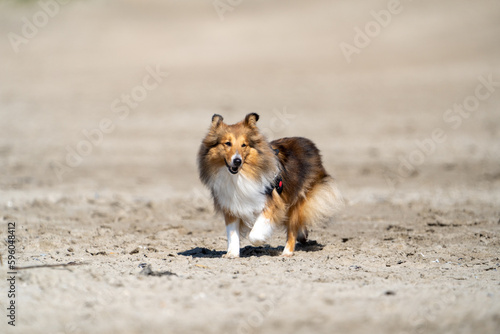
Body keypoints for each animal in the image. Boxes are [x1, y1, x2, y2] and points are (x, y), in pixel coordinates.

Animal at [197, 113, 342, 258]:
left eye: (244, 145)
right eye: (227, 143)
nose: (237, 161)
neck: (239, 176)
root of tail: (309, 144)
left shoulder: (272, 203)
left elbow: (254, 234)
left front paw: (261, 240)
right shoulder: (231, 205)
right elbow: (232, 234)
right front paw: (231, 254)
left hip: (297, 202)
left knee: (292, 230)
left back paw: (286, 253)